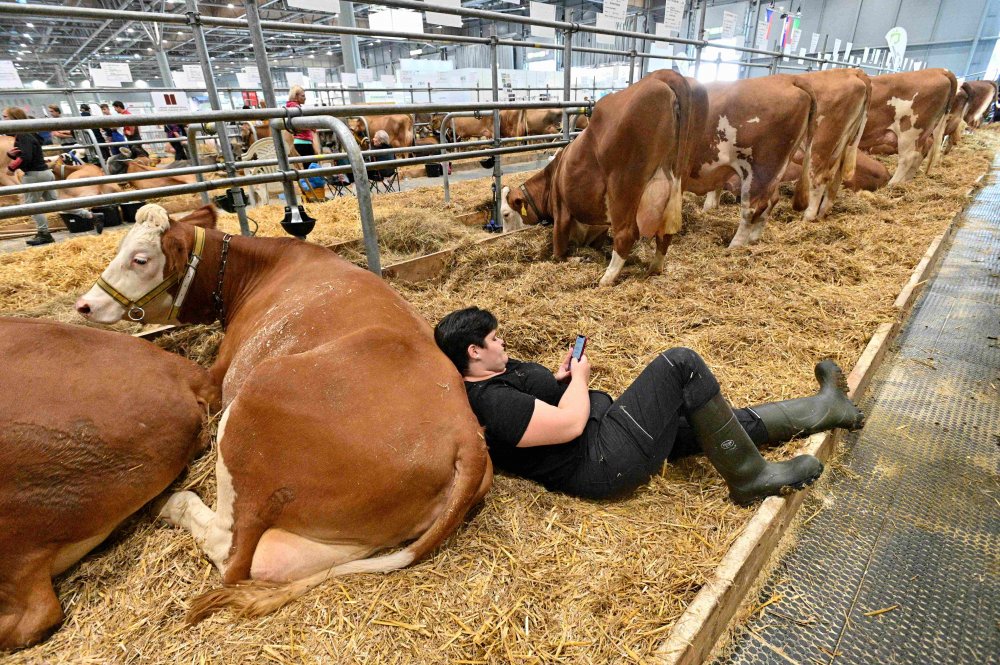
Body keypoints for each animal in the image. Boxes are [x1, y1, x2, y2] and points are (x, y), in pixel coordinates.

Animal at [73, 204, 492, 624]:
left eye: (140, 258)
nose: (84, 305)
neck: (261, 269)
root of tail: (468, 436)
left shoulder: (216, 378)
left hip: (254, 402)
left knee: (228, 552)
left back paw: (170, 502)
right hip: (343, 534)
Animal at [498, 70, 704, 286]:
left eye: (506, 214)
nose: (504, 236)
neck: (552, 177)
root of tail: (664, 75)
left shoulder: (561, 207)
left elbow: (558, 253)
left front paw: (578, 258)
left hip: (623, 184)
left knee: (626, 234)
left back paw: (606, 279)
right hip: (678, 178)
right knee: (666, 233)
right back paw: (654, 269)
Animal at [688, 73, 820, 249]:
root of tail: (788, 77)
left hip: (759, 169)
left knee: (751, 209)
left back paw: (734, 247)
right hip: (775, 171)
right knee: (770, 202)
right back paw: (753, 239)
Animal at [788, 69, 868, 220]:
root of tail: (854, 71)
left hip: (820, 143)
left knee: (819, 177)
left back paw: (807, 216)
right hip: (844, 143)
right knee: (835, 177)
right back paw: (822, 213)